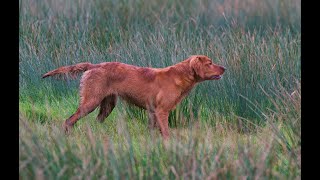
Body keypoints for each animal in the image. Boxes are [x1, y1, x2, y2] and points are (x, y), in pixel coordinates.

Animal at [43, 54, 225, 139]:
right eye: (210, 63)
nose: (224, 68)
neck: (181, 76)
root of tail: (94, 66)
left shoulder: (152, 112)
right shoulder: (161, 111)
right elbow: (166, 132)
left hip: (107, 105)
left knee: (96, 121)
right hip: (91, 101)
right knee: (69, 120)